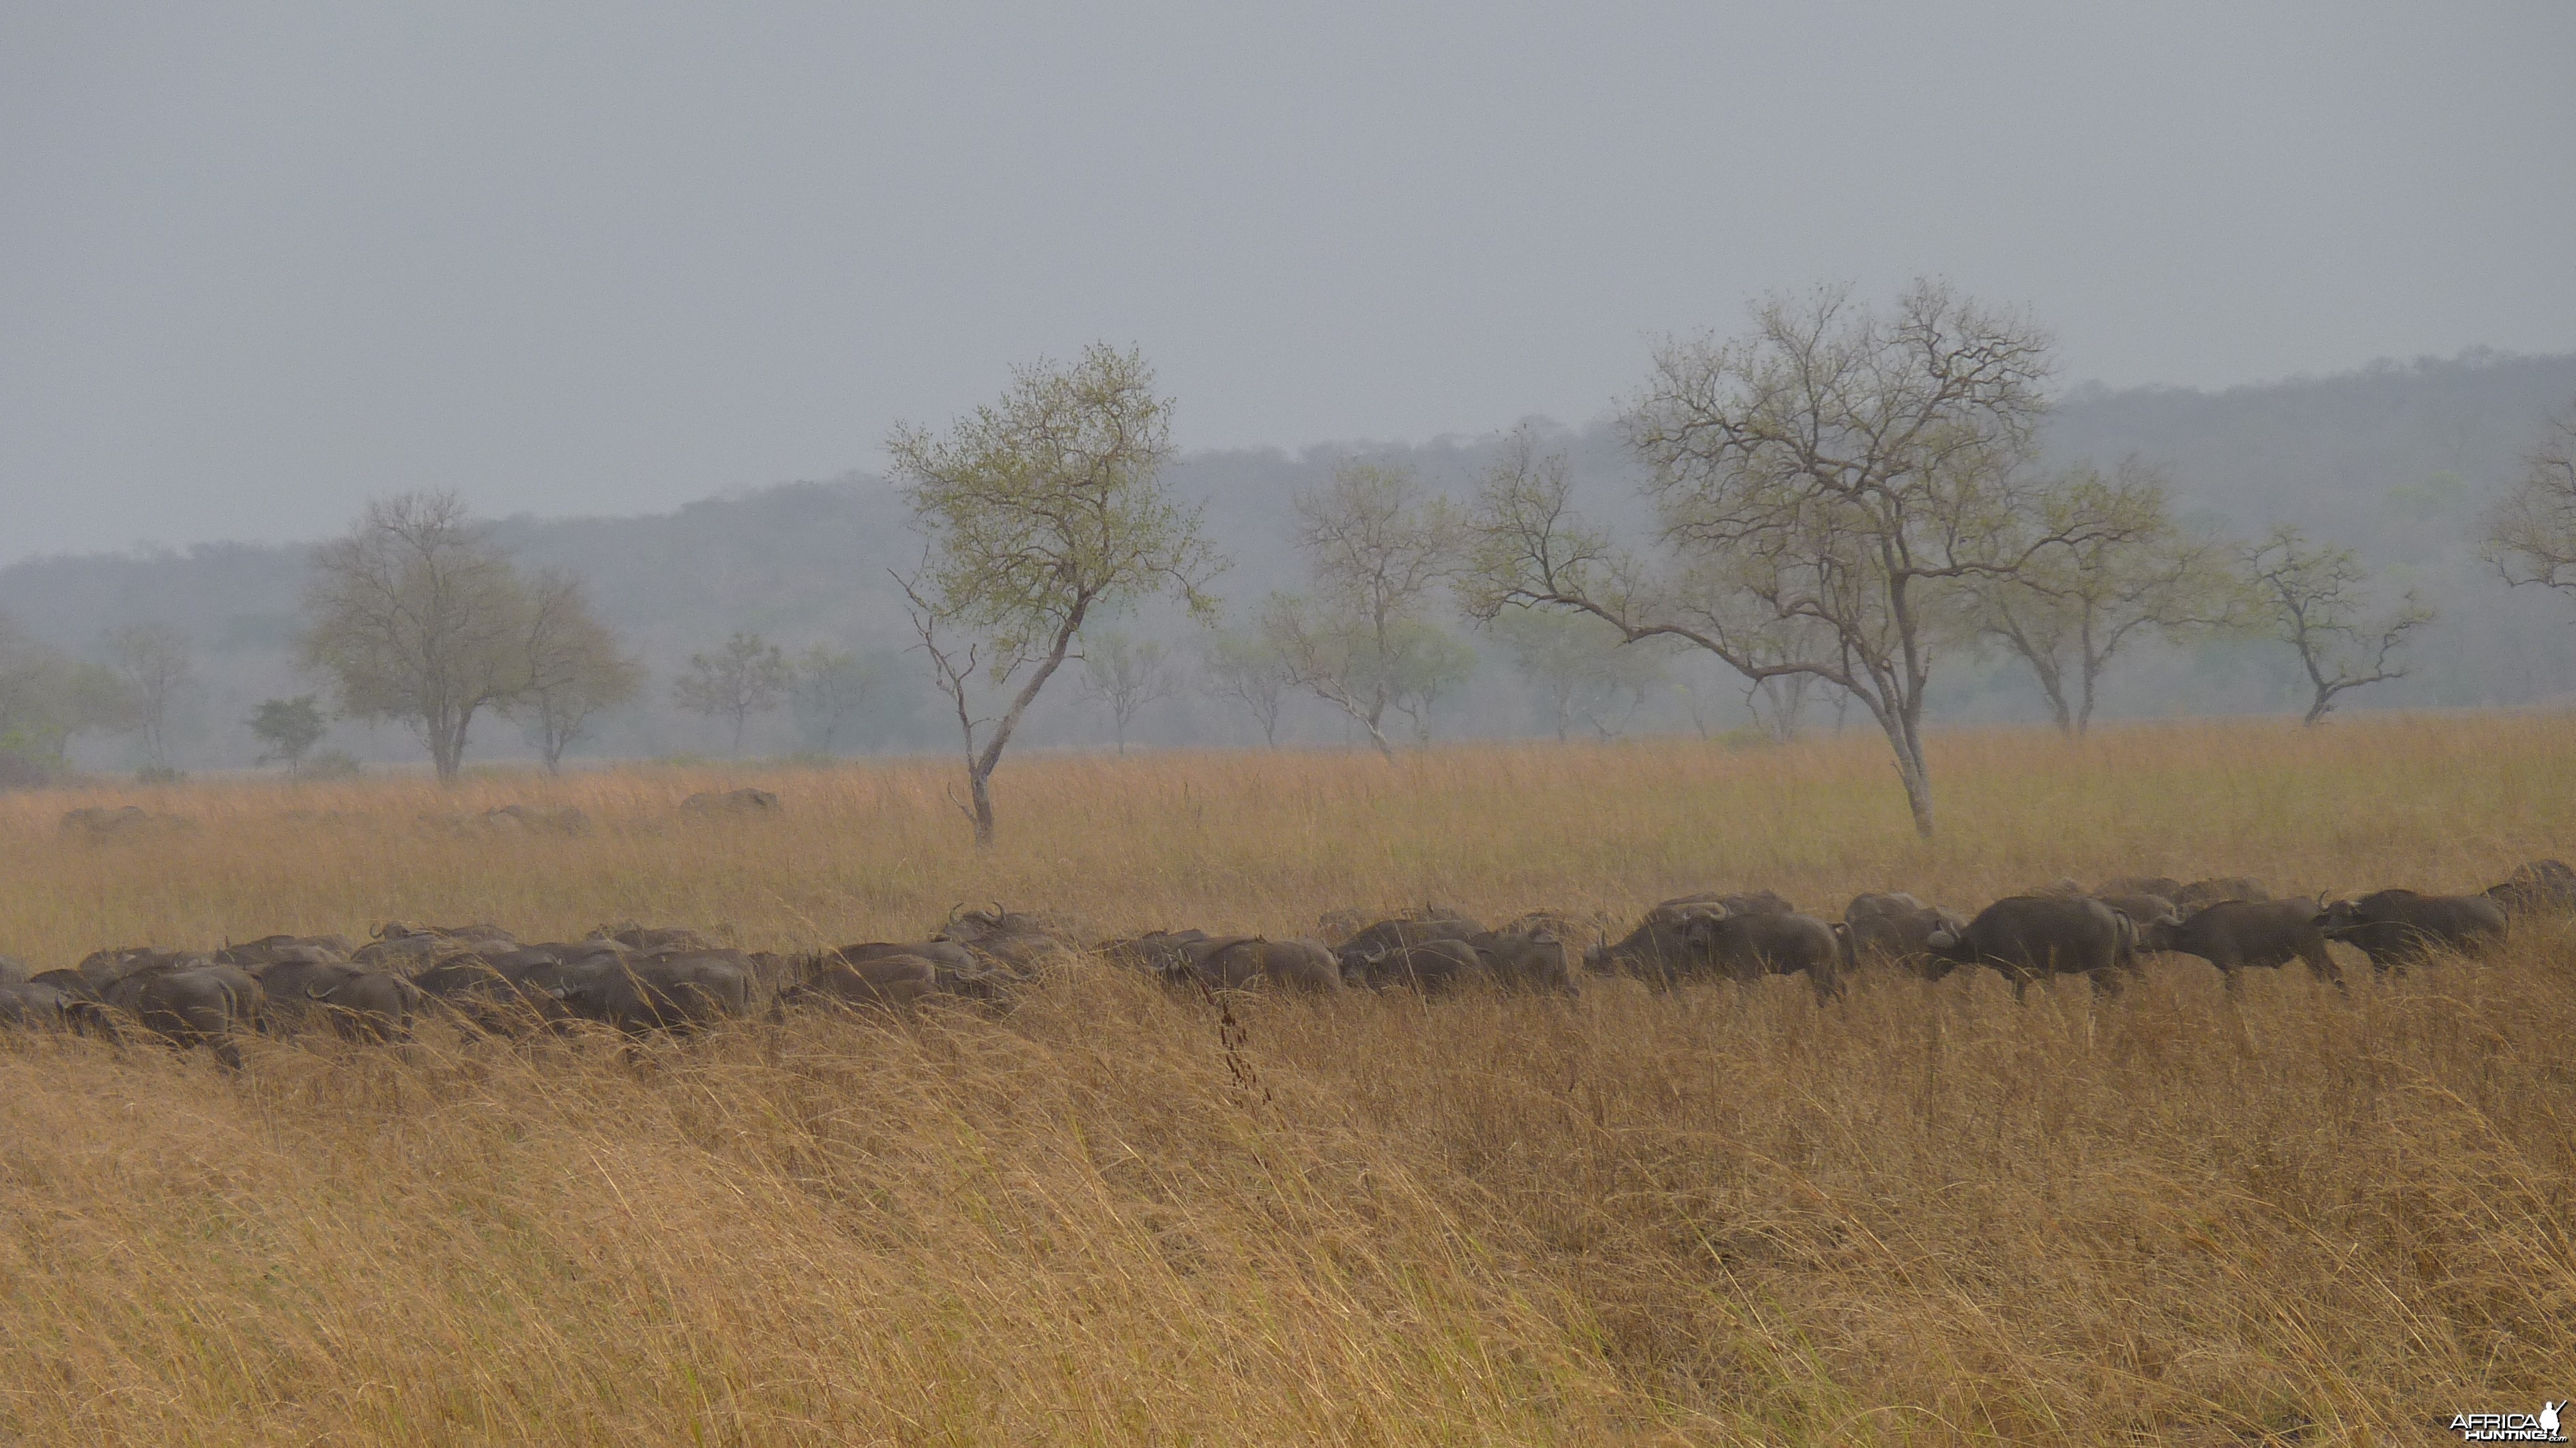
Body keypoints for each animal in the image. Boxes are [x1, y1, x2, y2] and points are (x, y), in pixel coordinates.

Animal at [1926, 891, 2143, 989]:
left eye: (1937, 951)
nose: (1930, 973)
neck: (1992, 928)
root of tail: (2111, 911)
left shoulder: (2020, 978)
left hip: (2100, 969)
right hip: (2125, 962)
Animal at [2308, 886, 2504, 964]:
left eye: (2347, 915)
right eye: (2330, 915)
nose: (2329, 932)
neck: (2373, 919)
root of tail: (2496, 908)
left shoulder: (2401, 962)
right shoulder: (2380, 963)